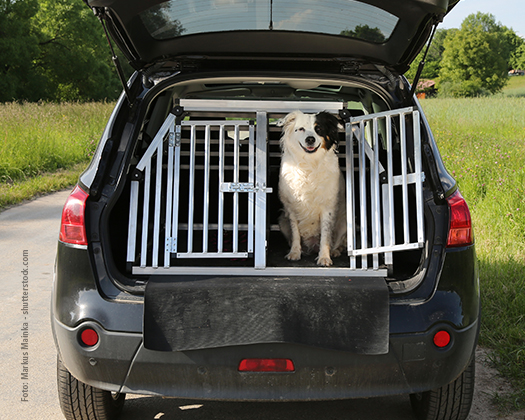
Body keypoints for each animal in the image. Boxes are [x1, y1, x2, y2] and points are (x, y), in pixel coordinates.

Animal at [276, 110, 346, 266]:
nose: (310, 139)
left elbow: (325, 235)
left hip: (343, 222)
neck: (309, 164)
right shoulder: (291, 208)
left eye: (318, 129)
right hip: (282, 221)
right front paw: (294, 252)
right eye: (301, 129)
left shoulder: (328, 207)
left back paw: (334, 251)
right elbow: (295, 233)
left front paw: (324, 257)